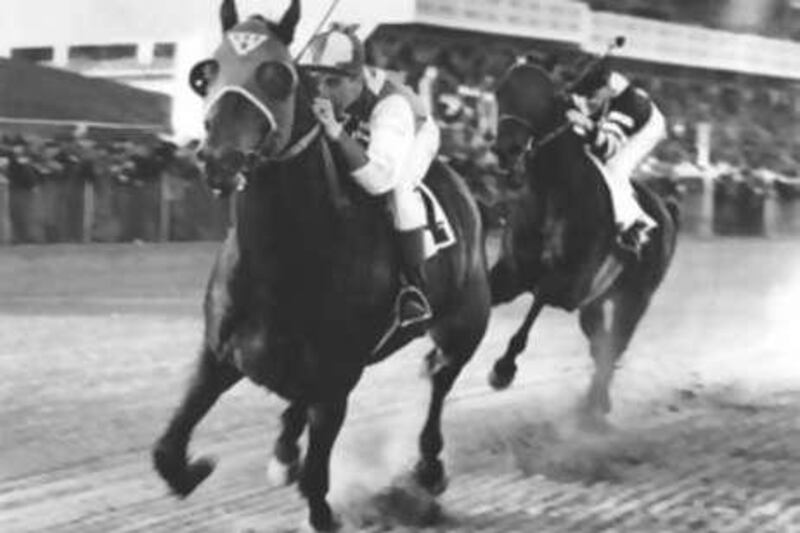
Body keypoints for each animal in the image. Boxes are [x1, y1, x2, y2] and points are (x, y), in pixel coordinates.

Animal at [149, 2, 488, 528]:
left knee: (440, 379)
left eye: (279, 76)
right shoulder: (219, 354)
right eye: (208, 74)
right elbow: (167, 448)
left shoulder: (337, 377)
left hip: (464, 325)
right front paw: (196, 468)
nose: (219, 158)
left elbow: (317, 474)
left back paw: (429, 468)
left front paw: (322, 506)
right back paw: (285, 450)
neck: (284, 261)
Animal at [484, 62, 680, 428]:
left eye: (543, 99)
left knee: (616, 344)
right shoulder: (511, 272)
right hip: (596, 303)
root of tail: (669, 208)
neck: (553, 193)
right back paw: (593, 402)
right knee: (601, 345)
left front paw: (503, 370)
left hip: (636, 298)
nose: (507, 151)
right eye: (501, 92)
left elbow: (535, 307)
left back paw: (596, 405)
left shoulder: (568, 286)